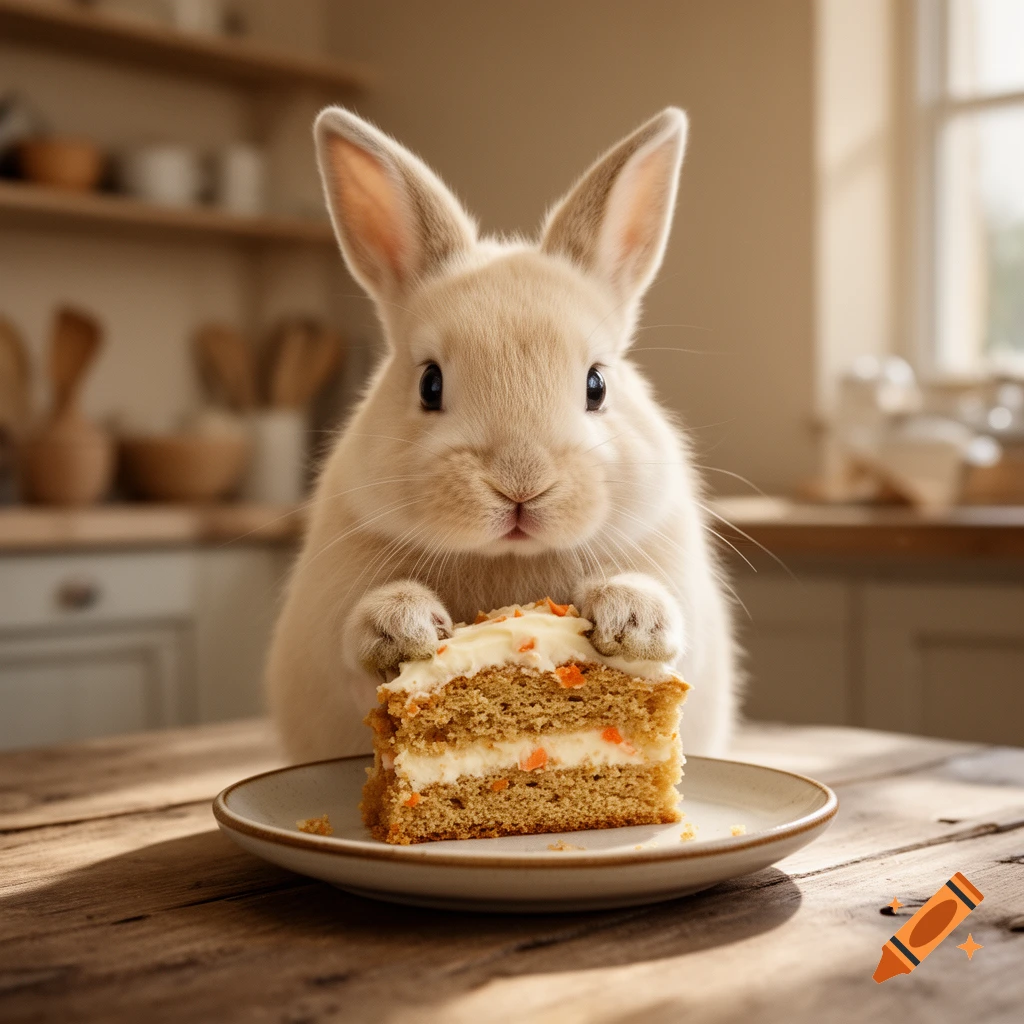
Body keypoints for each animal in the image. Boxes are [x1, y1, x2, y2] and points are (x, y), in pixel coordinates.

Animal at [266, 106, 738, 763]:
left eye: (597, 385)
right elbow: (357, 646)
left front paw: (632, 619)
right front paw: (402, 626)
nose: (521, 486)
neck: (509, 558)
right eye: (430, 384)